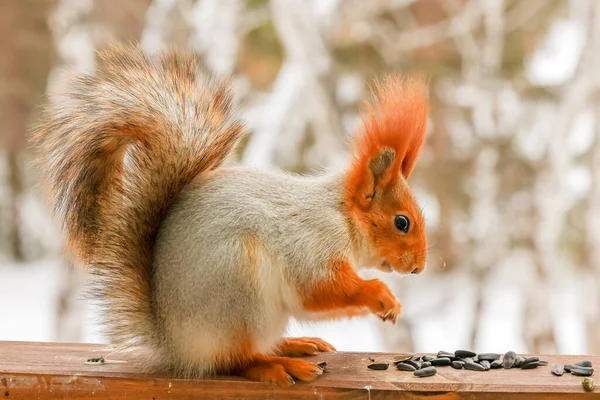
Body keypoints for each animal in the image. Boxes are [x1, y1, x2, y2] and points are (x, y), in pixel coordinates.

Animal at [30, 43, 428, 384]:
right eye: (402, 222)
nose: (420, 268)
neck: (342, 217)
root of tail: (176, 345)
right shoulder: (310, 242)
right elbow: (319, 290)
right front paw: (382, 297)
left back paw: (293, 345)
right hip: (239, 286)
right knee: (234, 360)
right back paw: (277, 365)